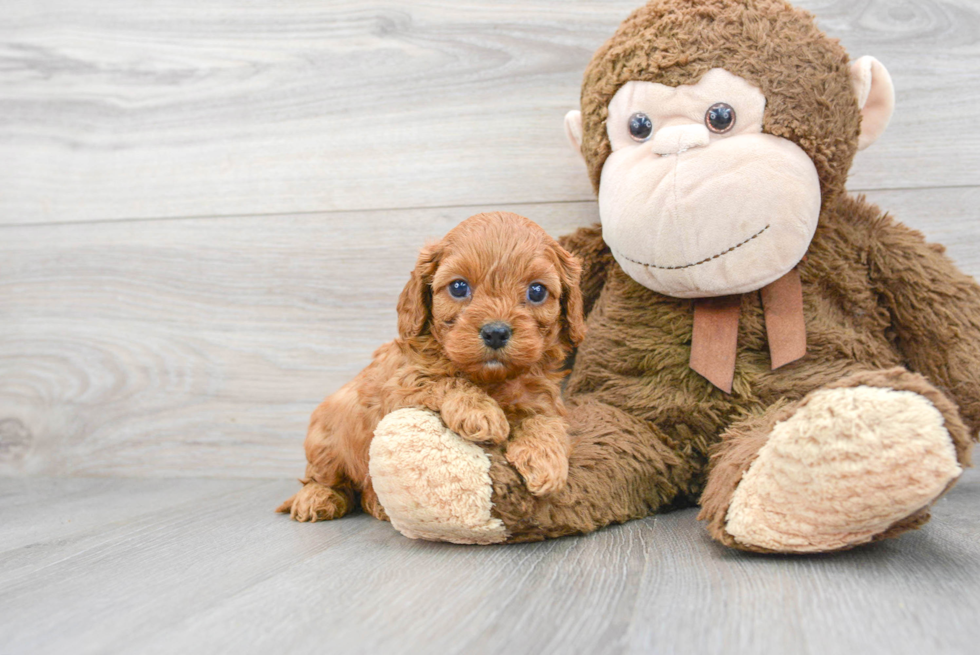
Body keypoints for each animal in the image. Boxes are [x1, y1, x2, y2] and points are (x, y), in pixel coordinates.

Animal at [276, 211, 580, 524]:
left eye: (537, 291)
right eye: (459, 287)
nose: (496, 332)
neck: (491, 378)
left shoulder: (541, 398)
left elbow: (546, 420)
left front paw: (546, 460)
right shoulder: (400, 387)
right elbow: (444, 380)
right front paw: (480, 412)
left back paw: (376, 503)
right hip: (326, 438)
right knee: (325, 478)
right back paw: (317, 498)